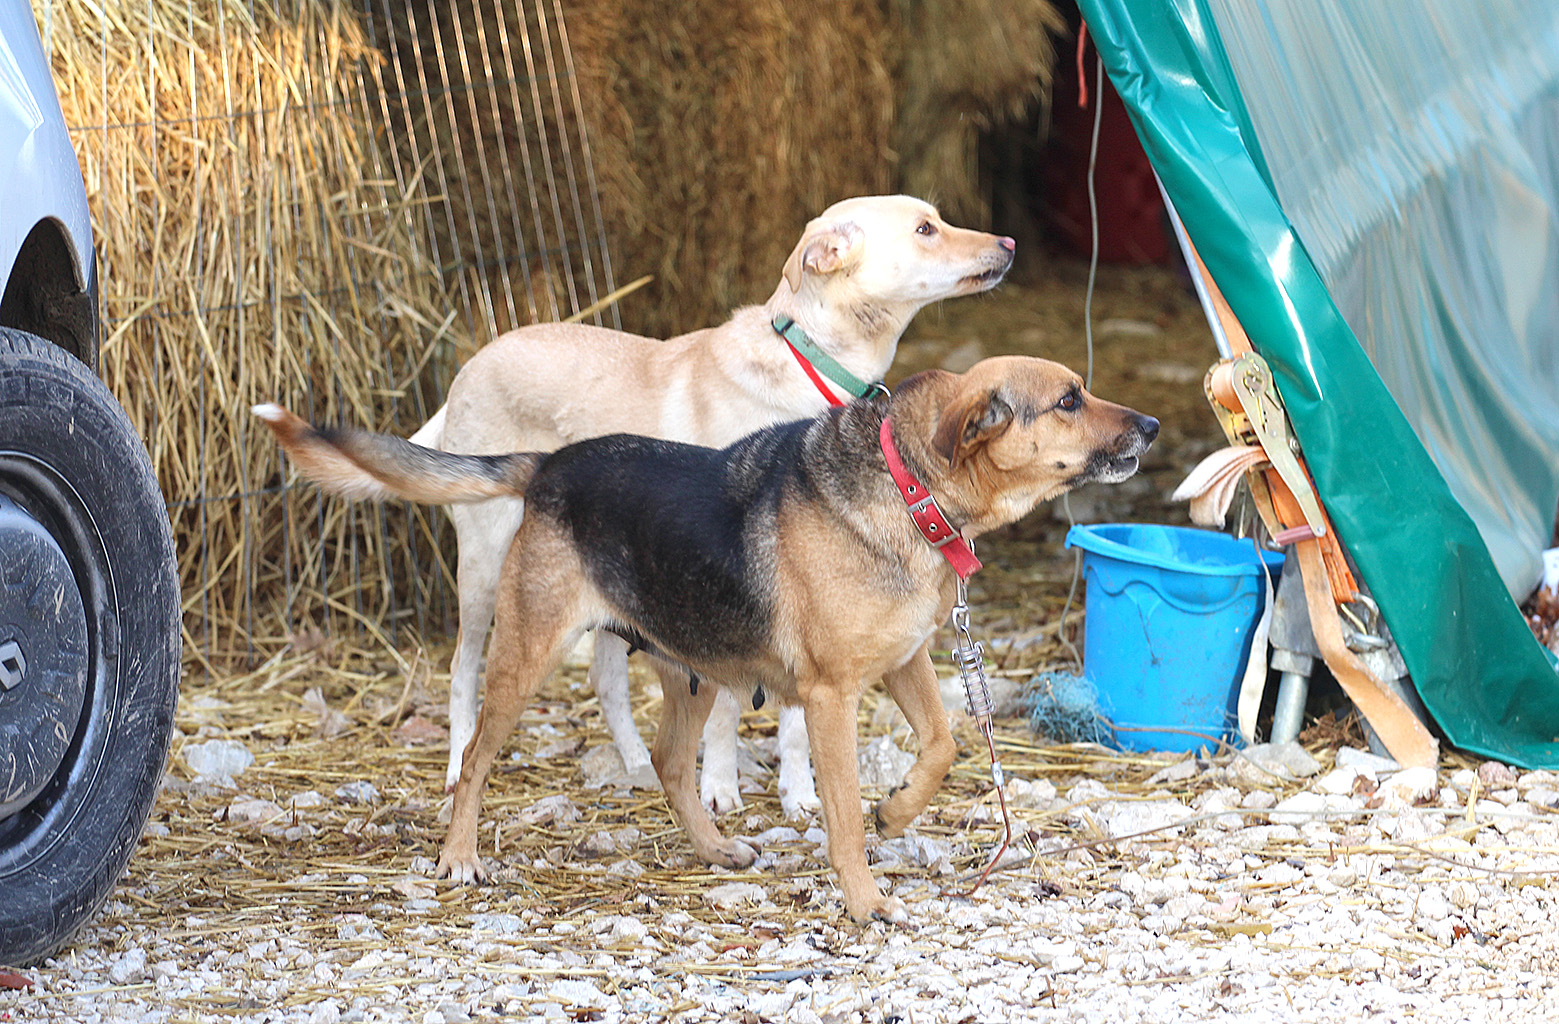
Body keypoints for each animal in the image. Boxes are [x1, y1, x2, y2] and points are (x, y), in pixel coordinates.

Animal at [255, 355, 1158, 923]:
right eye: (1069, 400)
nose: (1149, 424)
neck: (909, 489)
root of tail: (547, 465)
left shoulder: (906, 662)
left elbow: (942, 746)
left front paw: (898, 808)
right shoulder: (831, 696)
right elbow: (840, 816)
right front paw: (865, 900)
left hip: (693, 671)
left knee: (664, 762)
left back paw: (716, 849)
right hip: (524, 657)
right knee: (476, 755)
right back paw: (459, 856)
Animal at [409, 194, 1017, 811]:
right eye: (925, 230)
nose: (1010, 243)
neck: (815, 360)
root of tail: (470, 366)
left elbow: (795, 723)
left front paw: (799, 793)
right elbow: (727, 707)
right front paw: (721, 786)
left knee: (605, 680)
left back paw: (636, 763)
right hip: (486, 567)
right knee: (463, 669)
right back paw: (458, 766)